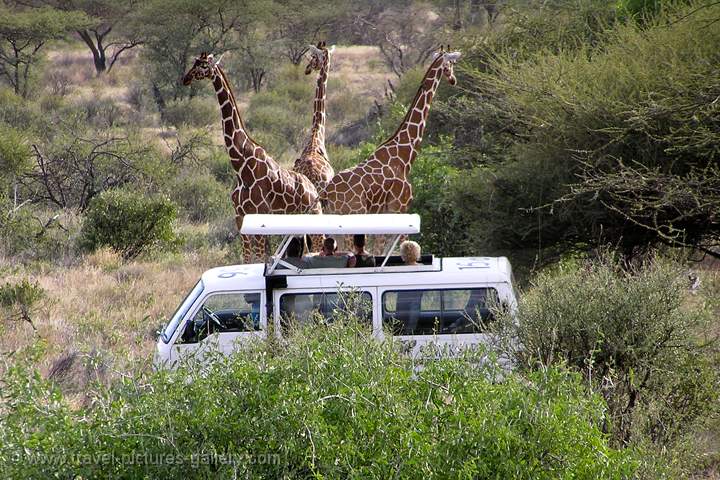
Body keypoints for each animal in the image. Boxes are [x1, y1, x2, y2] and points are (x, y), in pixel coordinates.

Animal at [183, 53, 320, 262]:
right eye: (194, 62)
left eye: (204, 65)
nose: (186, 78)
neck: (240, 166)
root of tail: (313, 190)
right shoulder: (240, 217)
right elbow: (247, 259)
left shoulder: (259, 214)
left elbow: (260, 258)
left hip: (315, 218)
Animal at [322, 47, 462, 251]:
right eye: (451, 63)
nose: (453, 80)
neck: (404, 155)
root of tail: (327, 193)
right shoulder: (398, 209)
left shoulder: (384, 213)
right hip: (351, 217)